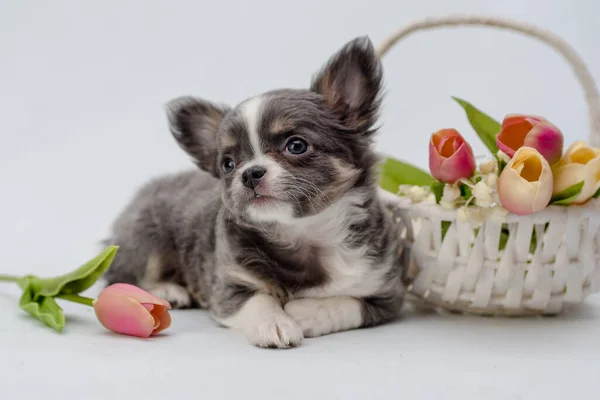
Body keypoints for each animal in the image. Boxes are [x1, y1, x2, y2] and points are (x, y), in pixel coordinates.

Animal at [104, 36, 408, 346]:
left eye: (296, 145)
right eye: (227, 164)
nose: (249, 173)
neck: (303, 236)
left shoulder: (386, 293)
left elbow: (346, 303)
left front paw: (304, 312)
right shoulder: (229, 286)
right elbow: (258, 301)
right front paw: (275, 323)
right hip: (145, 238)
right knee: (129, 274)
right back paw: (168, 290)